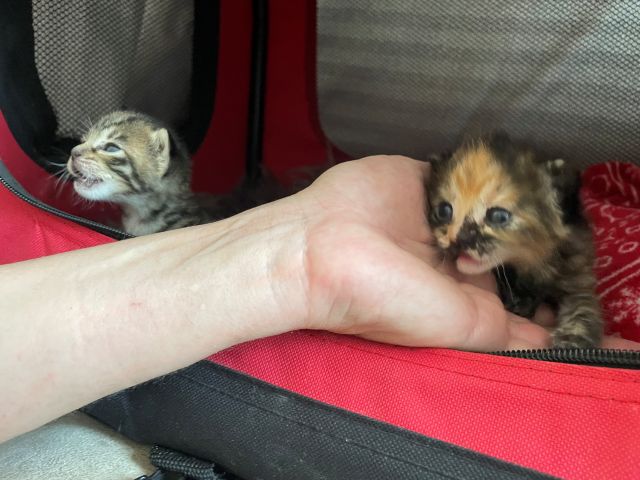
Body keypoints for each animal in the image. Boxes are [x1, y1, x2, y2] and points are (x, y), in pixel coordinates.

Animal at [426, 132, 603, 349]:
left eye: (498, 216)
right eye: (444, 211)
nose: (458, 240)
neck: (531, 262)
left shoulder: (577, 270)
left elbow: (584, 305)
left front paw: (572, 341)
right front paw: (520, 300)